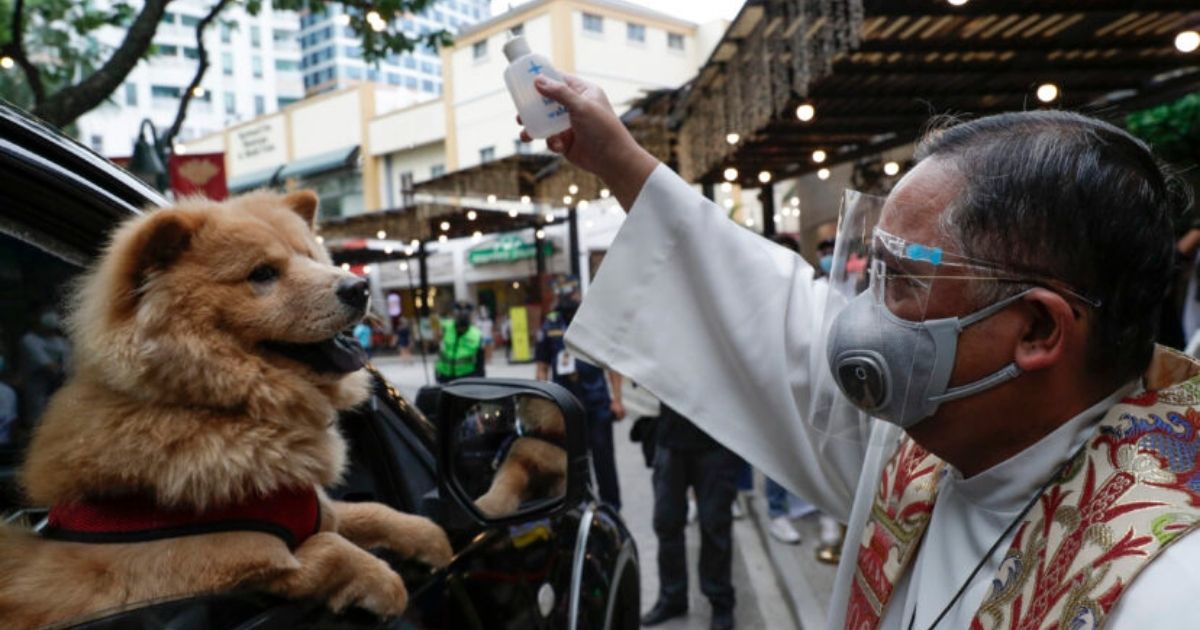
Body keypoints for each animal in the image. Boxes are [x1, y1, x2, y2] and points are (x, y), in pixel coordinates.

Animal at [0, 190, 452, 628]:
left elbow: (370, 512)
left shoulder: (315, 507)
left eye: (310, 256)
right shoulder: (197, 565)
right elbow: (329, 549)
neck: (223, 408)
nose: (357, 287)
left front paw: (433, 539)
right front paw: (388, 585)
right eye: (263, 274)